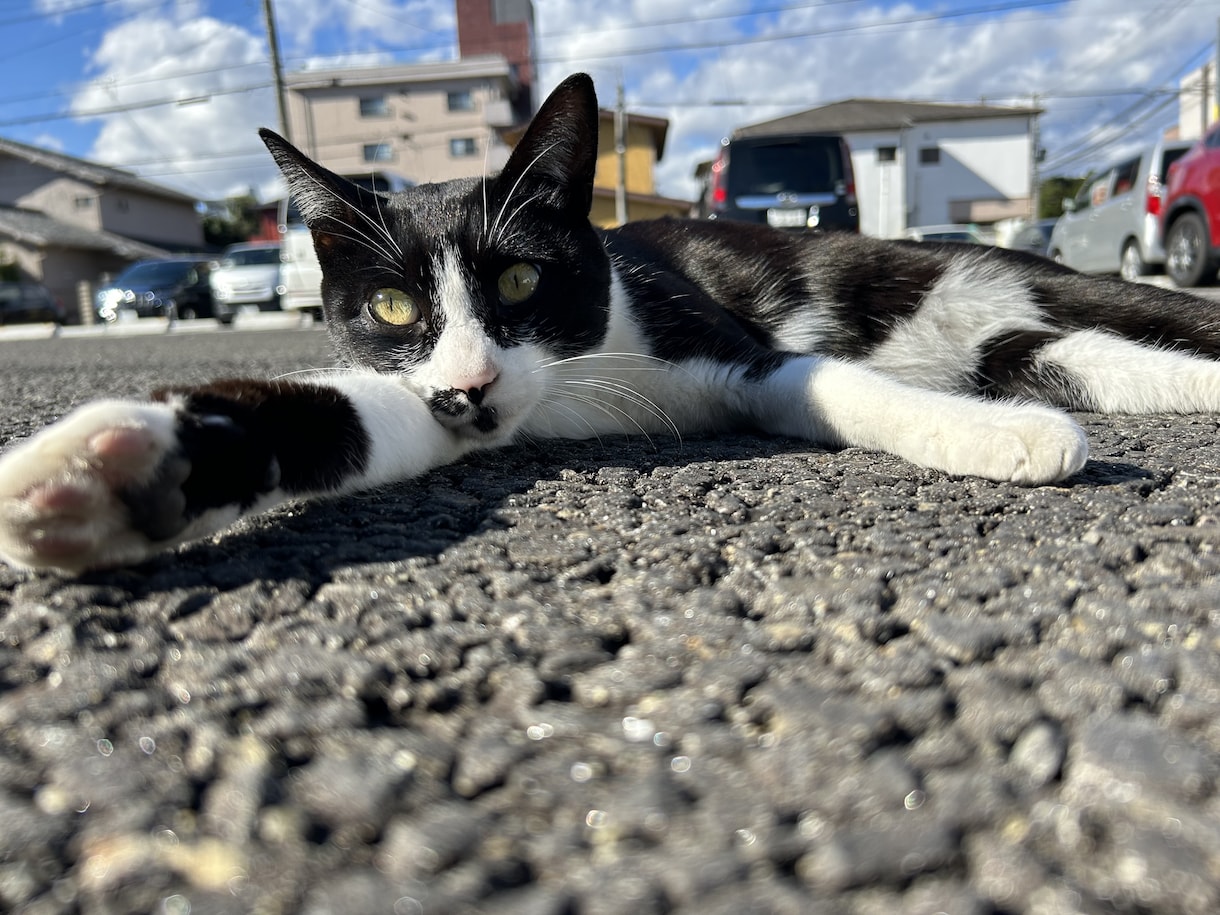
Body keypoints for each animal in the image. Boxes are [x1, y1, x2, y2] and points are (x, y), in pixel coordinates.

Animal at [2, 73, 1220, 573]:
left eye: (518, 282)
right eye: (392, 306)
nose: (472, 384)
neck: (572, 389)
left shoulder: (722, 341)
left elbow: (828, 380)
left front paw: (1003, 440)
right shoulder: (436, 401)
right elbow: (351, 417)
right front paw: (107, 477)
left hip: (996, 278)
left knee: (1124, 318)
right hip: (1013, 335)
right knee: (1075, 357)